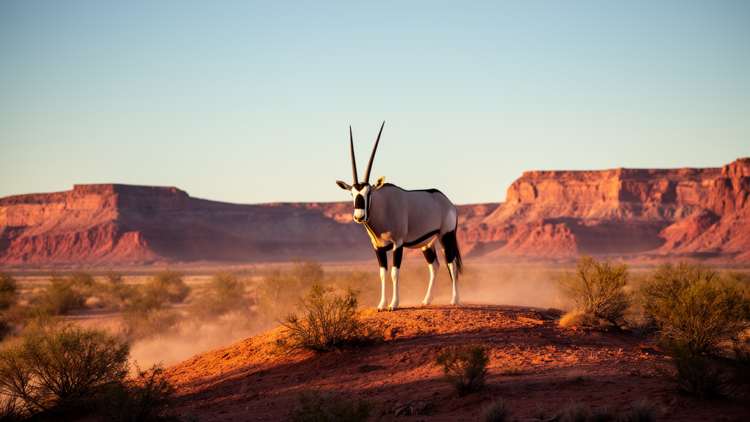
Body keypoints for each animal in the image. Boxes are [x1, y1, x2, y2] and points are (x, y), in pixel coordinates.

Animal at [335, 121, 463, 311]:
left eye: (369, 192)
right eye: (352, 193)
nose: (359, 216)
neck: (382, 208)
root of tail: (448, 203)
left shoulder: (398, 243)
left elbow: (395, 273)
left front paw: (393, 304)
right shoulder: (378, 247)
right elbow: (383, 274)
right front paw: (381, 304)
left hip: (446, 236)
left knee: (451, 264)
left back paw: (455, 299)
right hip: (428, 243)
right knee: (434, 266)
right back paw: (427, 300)